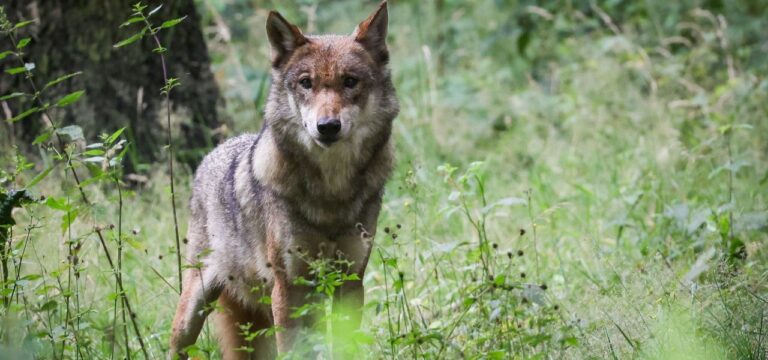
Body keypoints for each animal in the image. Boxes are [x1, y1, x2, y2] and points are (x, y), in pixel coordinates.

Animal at [168, 1, 396, 358]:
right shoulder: (289, 287)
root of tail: (214, 151)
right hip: (193, 310)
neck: (331, 192)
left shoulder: (349, 281)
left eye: (350, 81)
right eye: (306, 83)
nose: (327, 126)